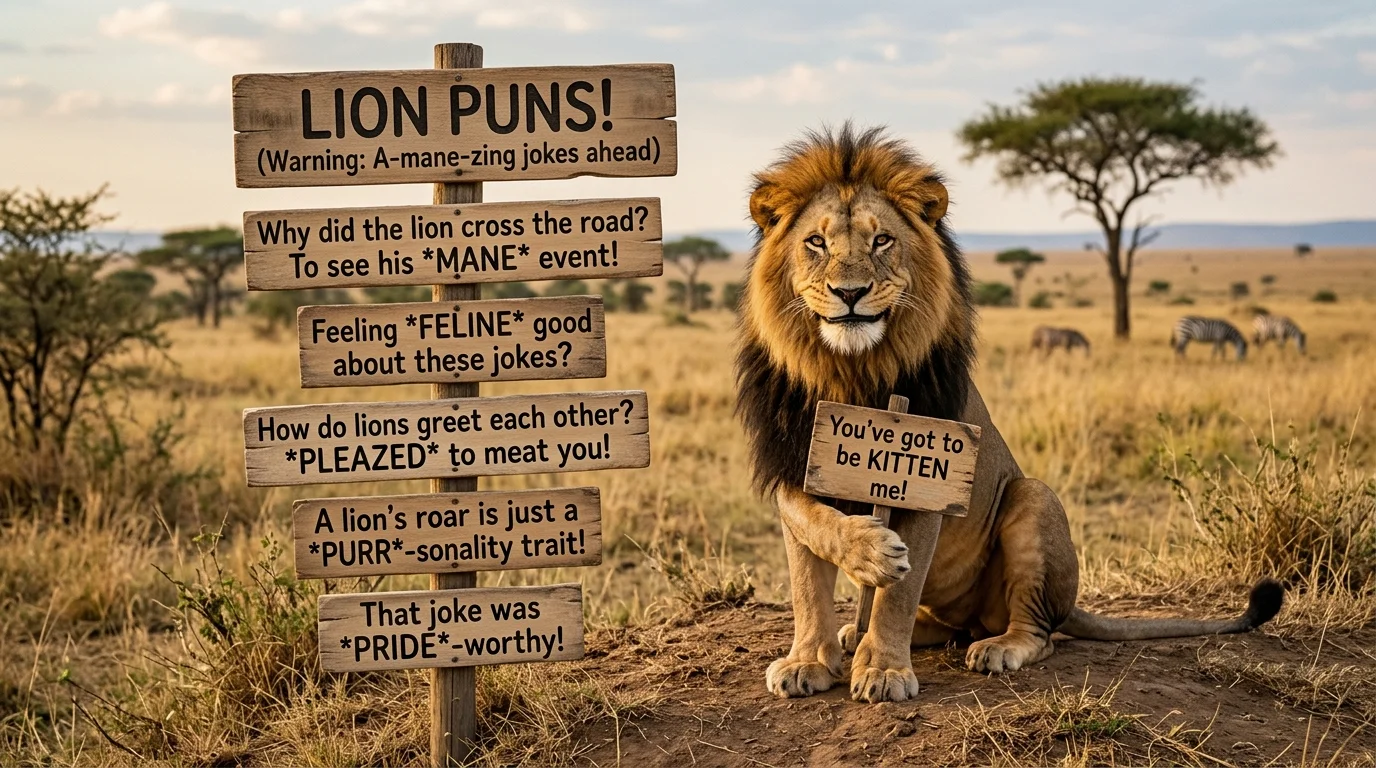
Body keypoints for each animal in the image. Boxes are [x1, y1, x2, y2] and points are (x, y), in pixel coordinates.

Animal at [734, 125, 1283, 704]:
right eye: (815, 243)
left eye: (881, 240)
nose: (850, 293)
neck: (849, 371)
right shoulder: (793, 462)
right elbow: (809, 568)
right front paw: (810, 657)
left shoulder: (928, 480)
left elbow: (896, 595)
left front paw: (883, 670)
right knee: (941, 623)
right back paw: (855, 634)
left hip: (1033, 499)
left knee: (1038, 632)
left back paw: (996, 648)